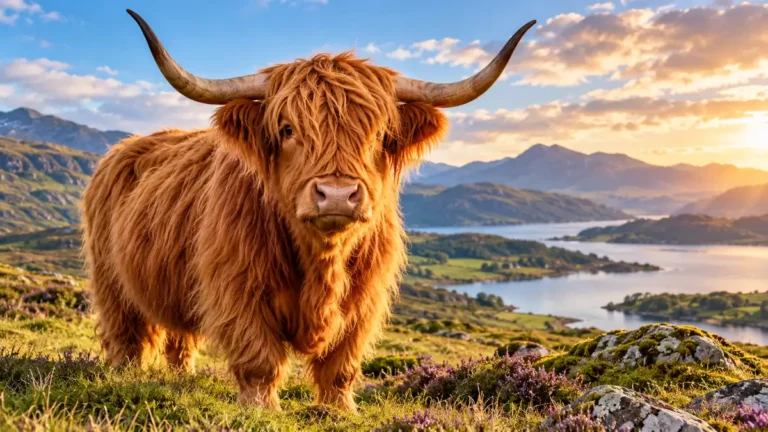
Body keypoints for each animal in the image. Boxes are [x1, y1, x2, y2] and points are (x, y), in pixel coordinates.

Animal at [81, 9, 534, 412]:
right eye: (287, 129)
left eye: (379, 135)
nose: (336, 194)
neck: (322, 261)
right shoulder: (238, 288)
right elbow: (260, 359)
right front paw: (261, 407)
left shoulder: (365, 299)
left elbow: (341, 365)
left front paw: (340, 409)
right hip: (110, 279)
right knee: (126, 335)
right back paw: (122, 374)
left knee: (181, 339)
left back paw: (183, 377)